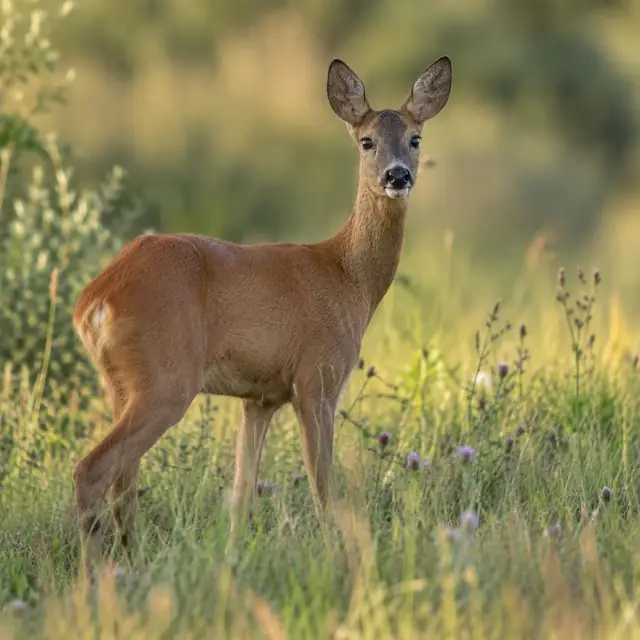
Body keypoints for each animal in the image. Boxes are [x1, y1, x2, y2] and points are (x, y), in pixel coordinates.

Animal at [72, 55, 452, 582]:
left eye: (416, 138)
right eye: (366, 140)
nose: (397, 176)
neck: (346, 276)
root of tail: (95, 298)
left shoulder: (261, 397)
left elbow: (241, 494)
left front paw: (232, 564)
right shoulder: (317, 379)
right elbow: (322, 486)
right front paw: (335, 559)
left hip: (121, 385)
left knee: (122, 482)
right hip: (167, 379)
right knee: (93, 470)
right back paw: (98, 582)